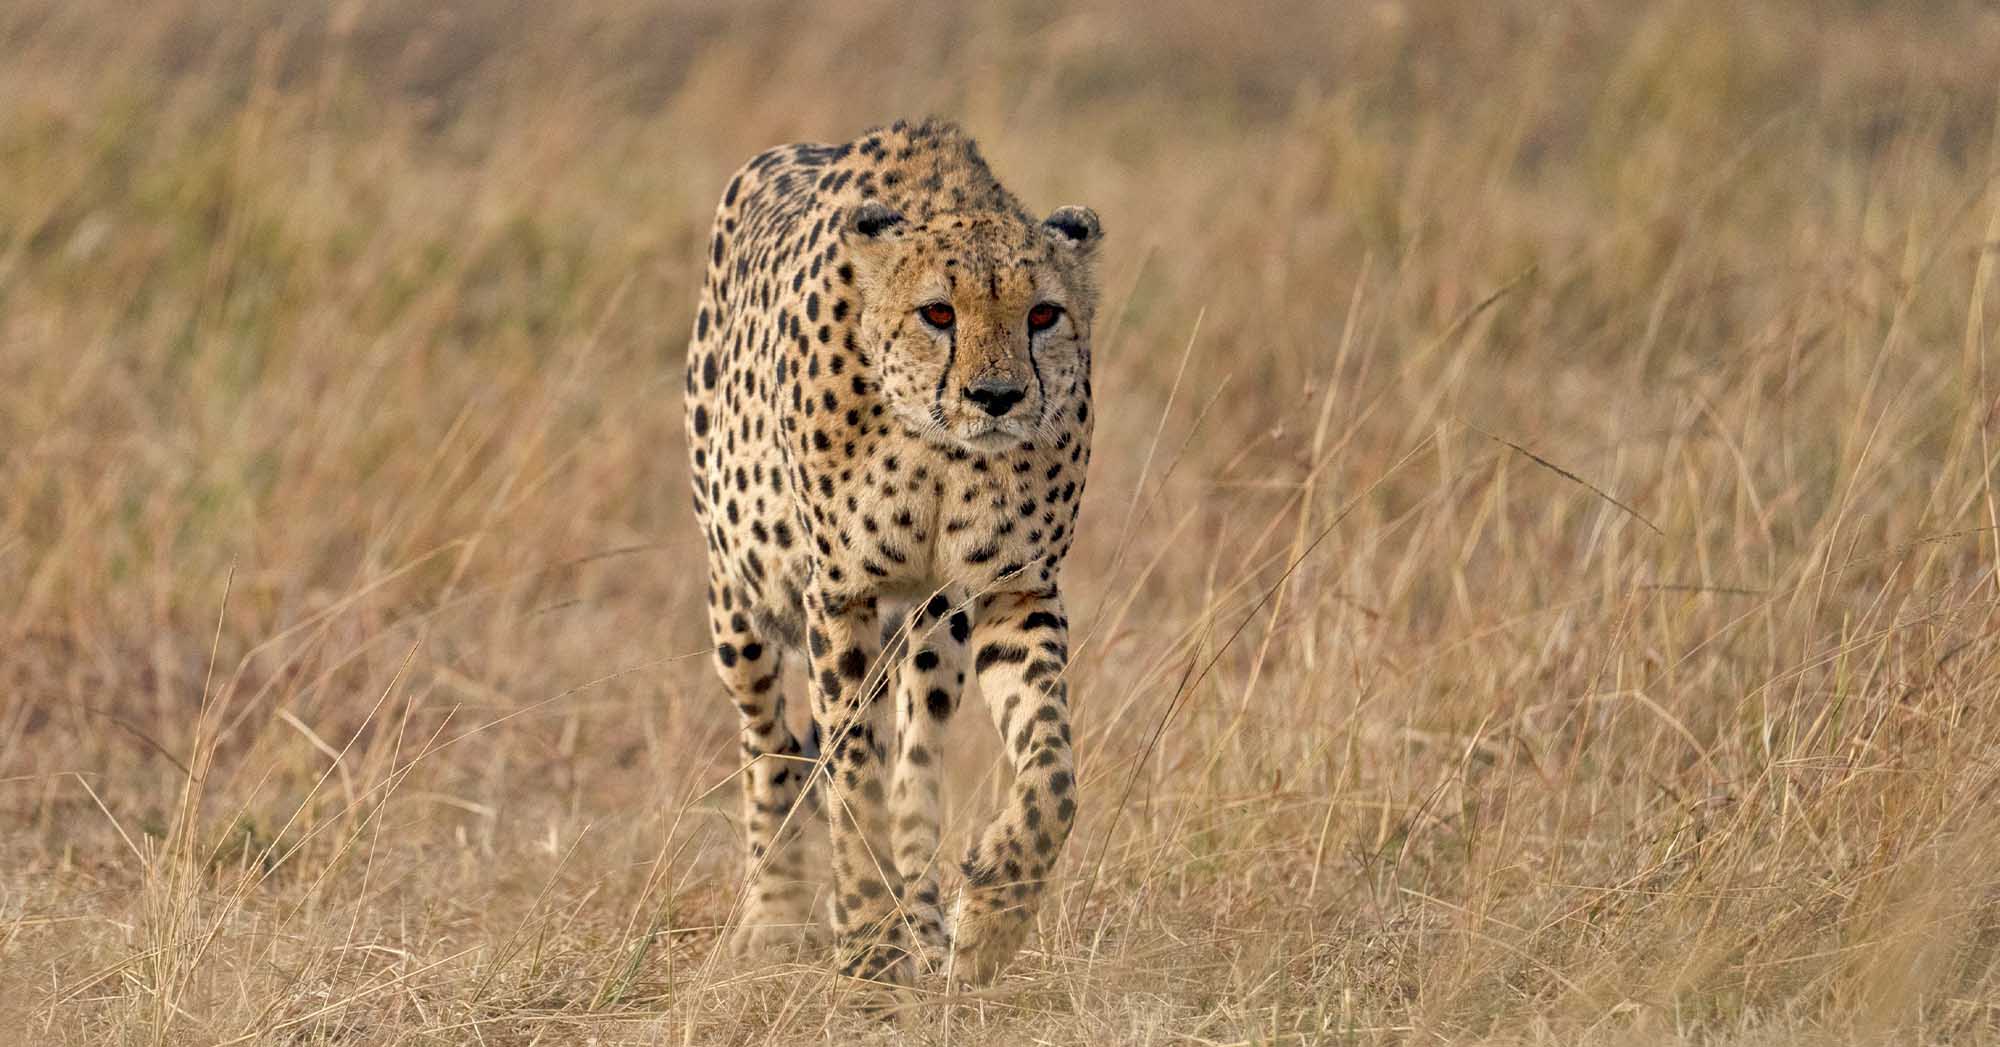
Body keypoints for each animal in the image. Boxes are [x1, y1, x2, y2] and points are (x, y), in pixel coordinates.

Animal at [682, 117, 1100, 988]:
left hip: (936, 623)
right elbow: (851, 779)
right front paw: (866, 940)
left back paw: (927, 920)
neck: (941, 447)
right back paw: (777, 916)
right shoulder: (842, 594)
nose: (998, 396)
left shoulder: (1015, 589)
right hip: (738, 597)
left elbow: (1052, 773)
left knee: (915, 762)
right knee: (771, 743)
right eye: (937, 312)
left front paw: (991, 915)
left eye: (1044, 314)